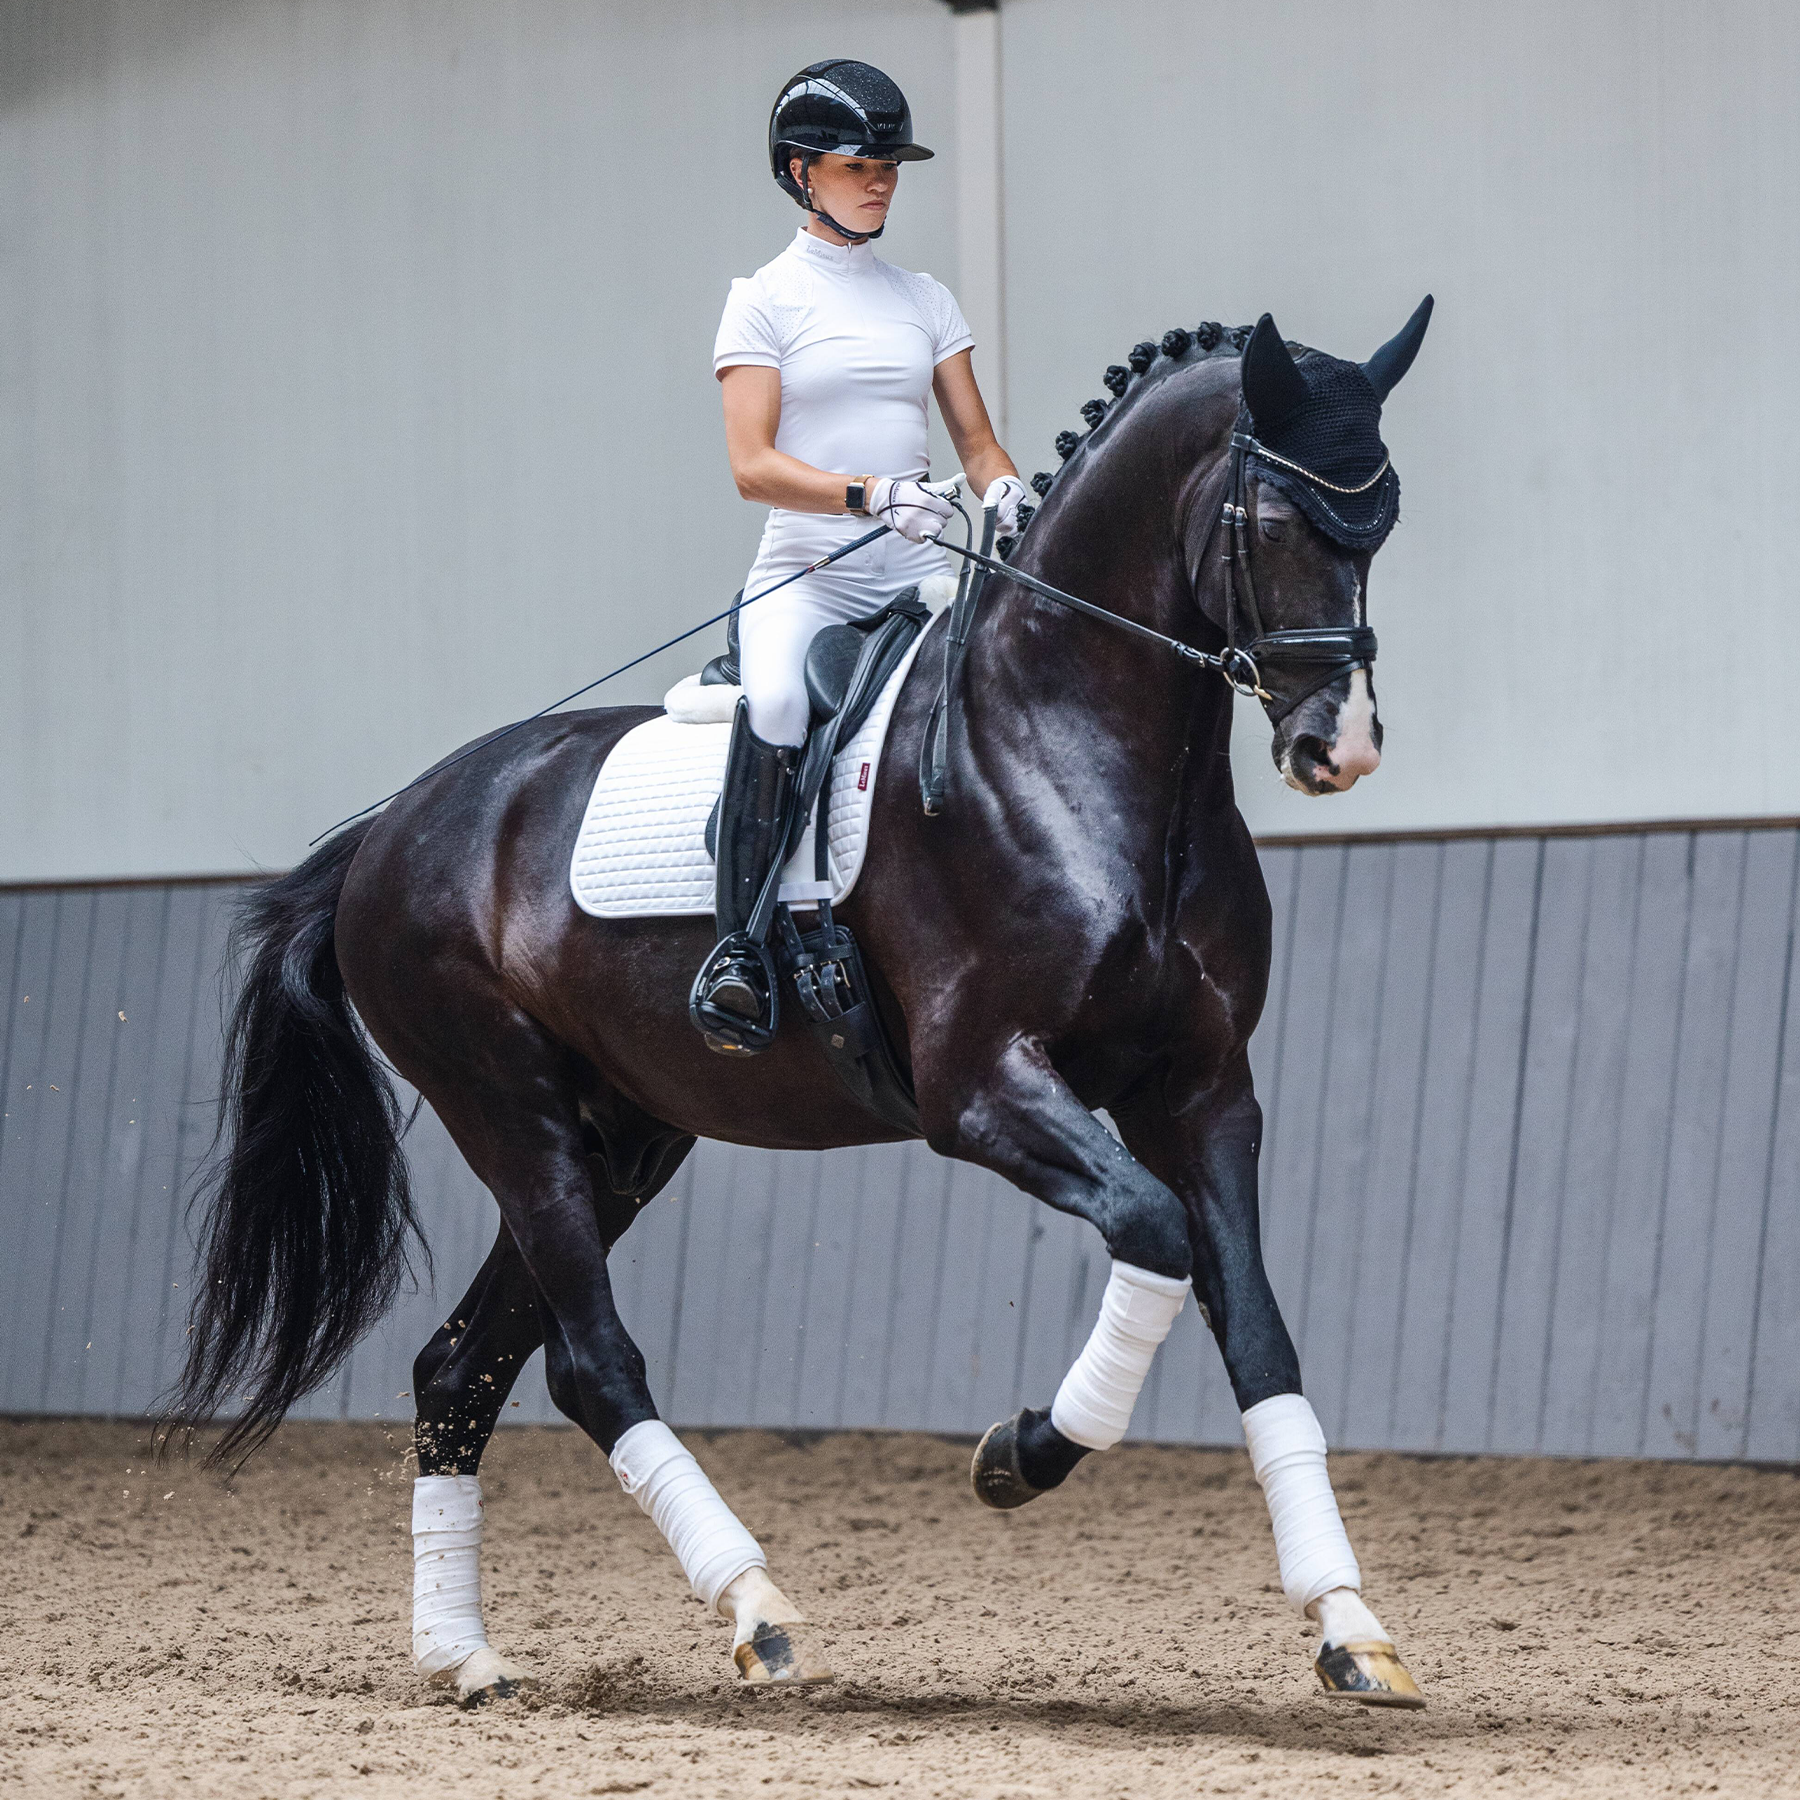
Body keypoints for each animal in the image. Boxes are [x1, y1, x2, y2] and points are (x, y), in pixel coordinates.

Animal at [169, 302, 1432, 1706]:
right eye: (1270, 519)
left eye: (1382, 521)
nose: (1339, 749)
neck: (1070, 749)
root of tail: (388, 829)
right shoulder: (981, 1091)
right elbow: (1153, 1234)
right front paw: (1017, 1455)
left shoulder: (1203, 1093)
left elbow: (1256, 1330)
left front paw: (1349, 1626)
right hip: (510, 1114)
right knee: (590, 1362)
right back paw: (754, 1607)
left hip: (621, 1139)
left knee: (461, 1369)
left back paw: (467, 1657)